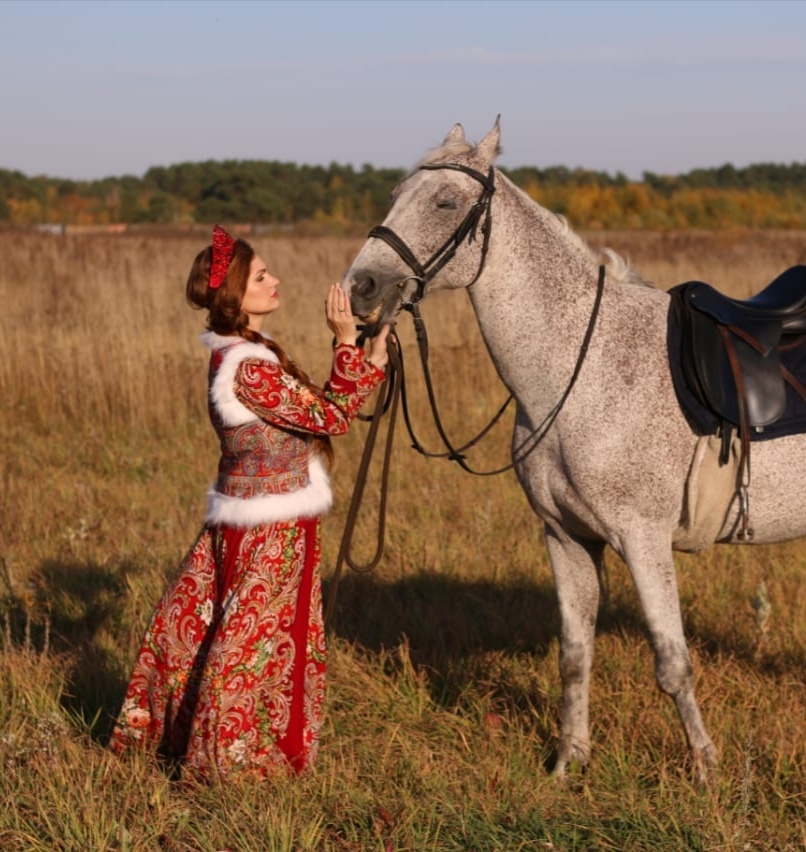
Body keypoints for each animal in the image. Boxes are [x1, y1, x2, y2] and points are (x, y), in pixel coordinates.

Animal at [344, 118, 806, 780]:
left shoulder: (642, 538)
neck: (584, 369)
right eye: (394, 195)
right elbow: (575, 654)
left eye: (446, 202)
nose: (360, 287)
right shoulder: (566, 536)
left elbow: (672, 663)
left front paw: (706, 770)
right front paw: (569, 763)